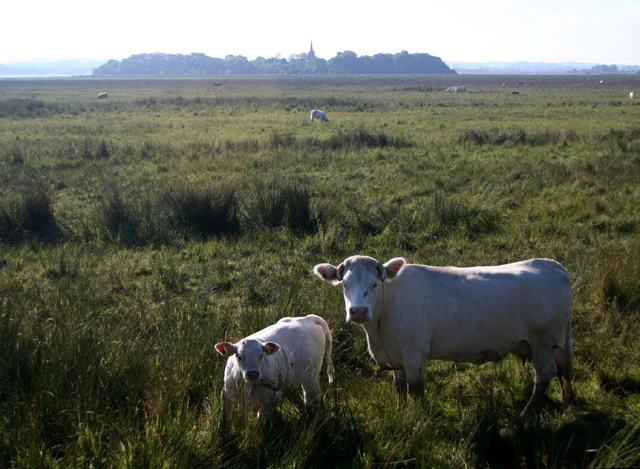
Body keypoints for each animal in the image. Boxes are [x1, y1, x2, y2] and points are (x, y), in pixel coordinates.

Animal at [313, 255, 574, 416]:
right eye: (344, 285)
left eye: (375, 283)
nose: (358, 311)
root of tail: (551, 265)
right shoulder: (396, 354)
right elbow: (400, 387)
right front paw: (400, 412)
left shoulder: (415, 352)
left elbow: (416, 389)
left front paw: (420, 418)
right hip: (553, 344)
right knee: (561, 370)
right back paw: (565, 400)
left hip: (543, 342)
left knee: (544, 376)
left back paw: (525, 413)